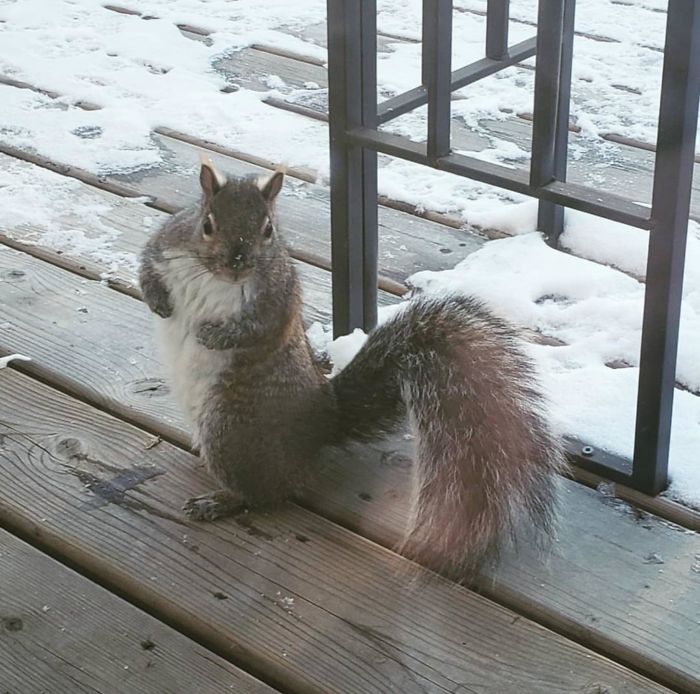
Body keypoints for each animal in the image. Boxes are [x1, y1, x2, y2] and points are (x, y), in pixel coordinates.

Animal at [138, 159, 566, 578]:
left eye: (268, 229)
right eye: (207, 223)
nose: (238, 263)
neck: (213, 275)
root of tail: (323, 420)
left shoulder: (275, 297)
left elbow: (255, 328)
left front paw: (211, 334)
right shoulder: (165, 243)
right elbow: (146, 266)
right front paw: (159, 302)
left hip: (231, 430)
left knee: (267, 495)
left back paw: (219, 501)